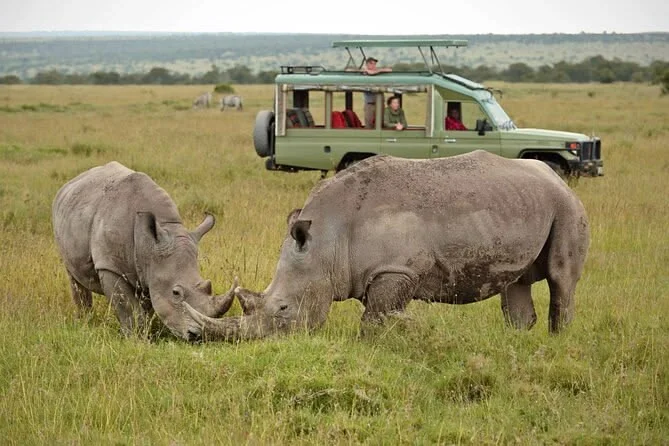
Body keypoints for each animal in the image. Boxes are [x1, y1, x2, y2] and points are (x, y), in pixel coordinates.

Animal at [52, 161, 235, 340]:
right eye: (175, 293)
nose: (199, 336)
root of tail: (68, 185)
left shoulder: (151, 269)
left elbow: (147, 308)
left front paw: (145, 333)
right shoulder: (110, 266)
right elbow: (127, 307)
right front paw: (134, 338)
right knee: (74, 276)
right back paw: (85, 322)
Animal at [185, 151, 590, 341]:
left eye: (283, 308)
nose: (261, 342)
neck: (327, 239)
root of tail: (557, 177)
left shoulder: (396, 270)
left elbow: (374, 320)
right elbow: (376, 317)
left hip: (566, 207)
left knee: (561, 280)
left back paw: (557, 341)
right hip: (526, 205)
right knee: (516, 284)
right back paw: (518, 341)